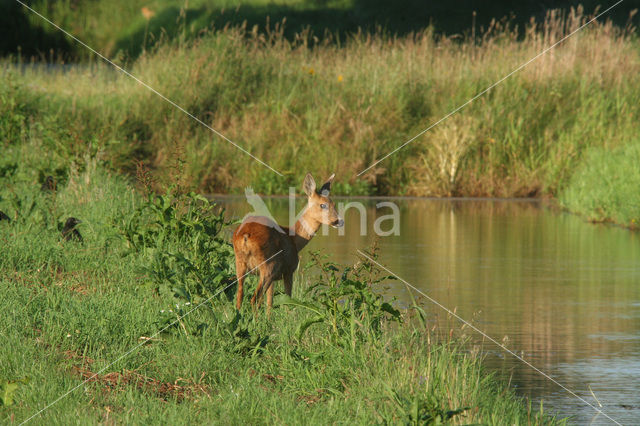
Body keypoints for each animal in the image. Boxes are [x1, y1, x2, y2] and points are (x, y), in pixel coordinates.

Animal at [234, 173, 344, 312]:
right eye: (323, 205)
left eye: (334, 203)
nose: (339, 221)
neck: (294, 239)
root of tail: (245, 236)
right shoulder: (289, 271)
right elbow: (288, 302)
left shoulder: (276, 278)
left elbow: (270, 303)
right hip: (268, 267)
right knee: (255, 299)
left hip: (240, 264)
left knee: (240, 295)